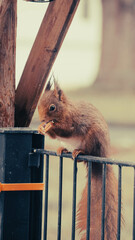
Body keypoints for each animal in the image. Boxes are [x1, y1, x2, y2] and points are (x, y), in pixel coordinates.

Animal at [38, 79, 118, 240]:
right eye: (38, 105)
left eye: (52, 107)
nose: (42, 119)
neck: (66, 110)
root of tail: (103, 155)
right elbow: (54, 136)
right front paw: (42, 128)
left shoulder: (74, 122)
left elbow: (66, 130)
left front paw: (49, 127)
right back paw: (62, 149)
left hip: (93, 137)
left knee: (86, 152)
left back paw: (79, 151)